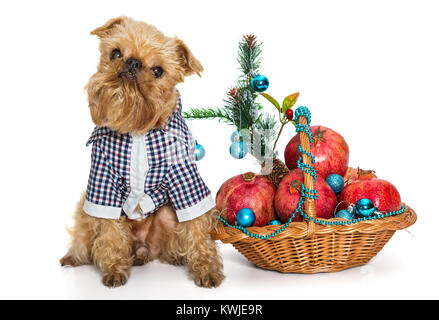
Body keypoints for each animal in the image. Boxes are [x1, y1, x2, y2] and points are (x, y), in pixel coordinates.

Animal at [60, 16, 225, 288]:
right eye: (115, 53)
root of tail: (143, 247)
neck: (137, 129)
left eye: (158, 71)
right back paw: (75, 257)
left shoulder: (185, 177)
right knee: (86, 235)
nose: (133, 62)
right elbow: (110, 232)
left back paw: (172, 257)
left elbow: (196, 225)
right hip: (86, 208)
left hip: (167, 213)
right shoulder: (102, 182)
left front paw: (207, 268)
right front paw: (114, 269)